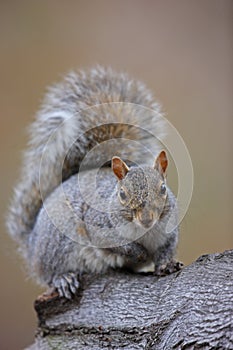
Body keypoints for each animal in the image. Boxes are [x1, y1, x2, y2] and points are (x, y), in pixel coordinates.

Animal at [6, 65, 179, 298]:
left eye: (163, 189)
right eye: (122, 193)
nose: (146, 219)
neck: (145, 231)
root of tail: (32, 245)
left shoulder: (170, 230)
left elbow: (167, 249)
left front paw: (166, 264)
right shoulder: (97, 224)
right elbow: (116, 245)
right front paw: (139, 253)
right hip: (58, 242)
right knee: (48, 274)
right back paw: (62, 278)